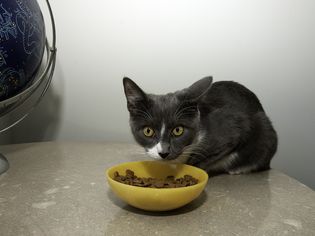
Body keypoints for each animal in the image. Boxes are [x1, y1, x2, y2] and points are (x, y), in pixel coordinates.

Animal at [122, 76, 278, 176]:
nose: (164, 152)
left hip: (264, 129)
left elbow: (203, 159)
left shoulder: (234, 129)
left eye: (178, 130)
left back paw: (239, 169)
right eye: (148, 131)